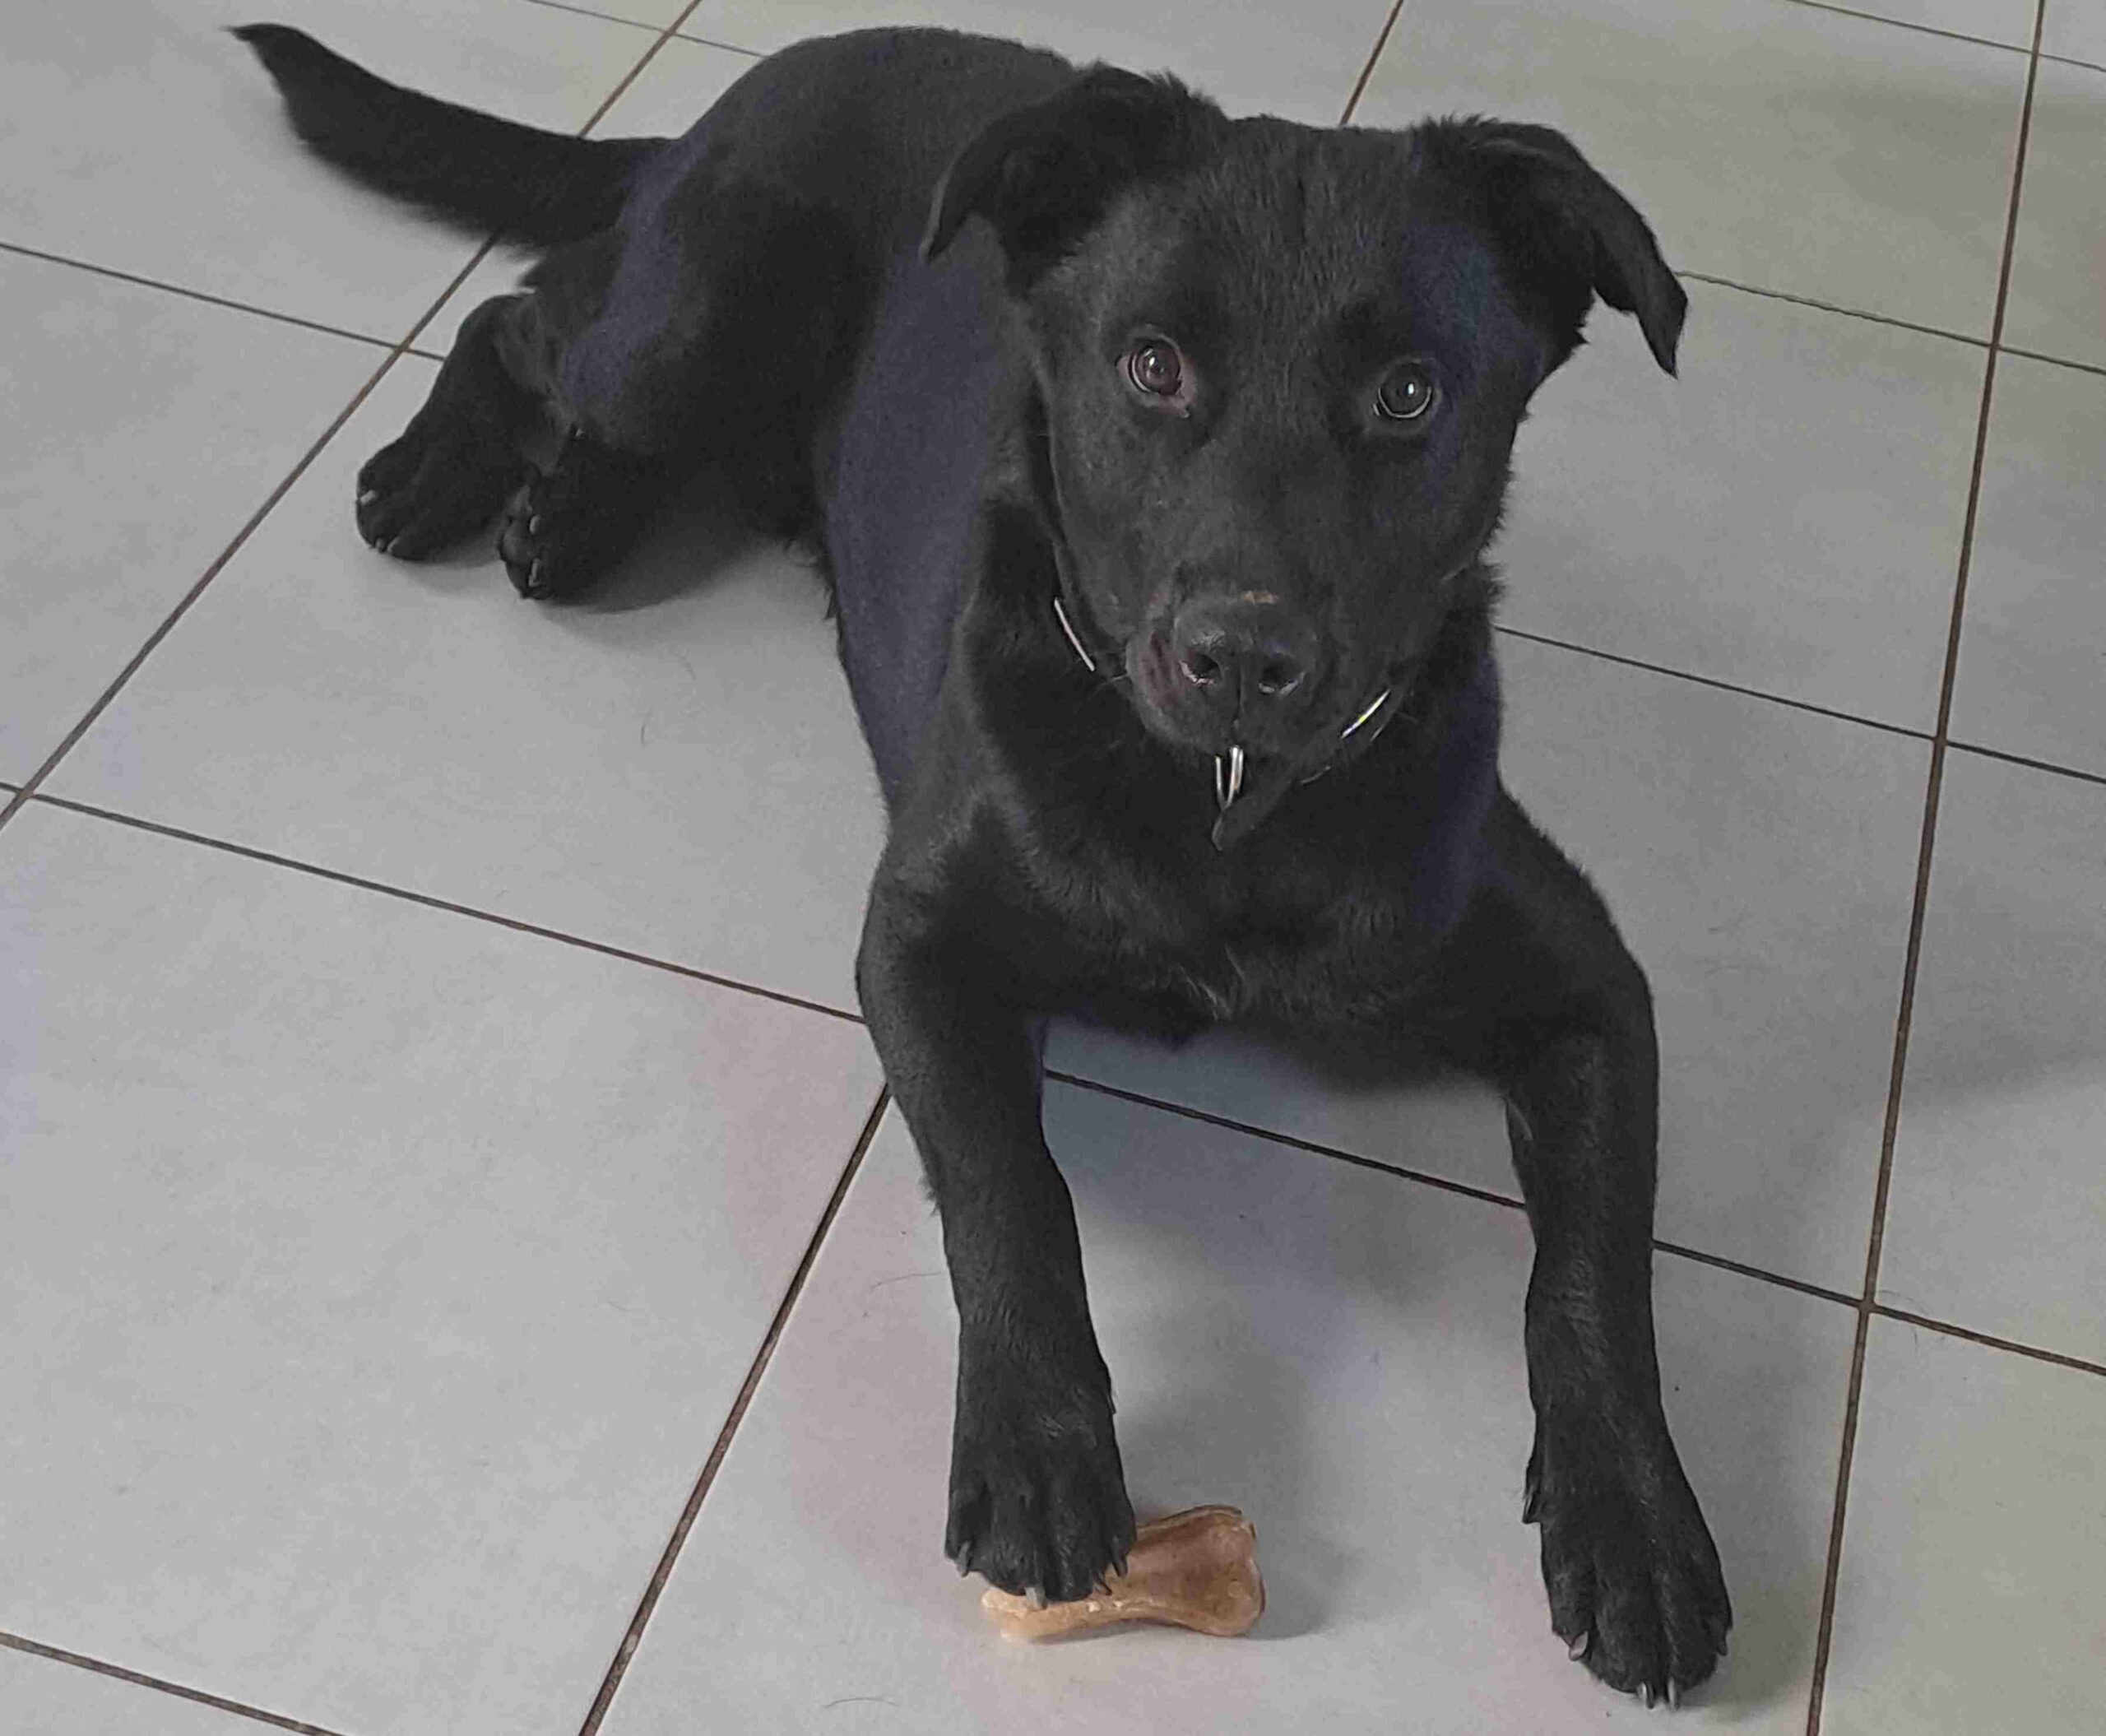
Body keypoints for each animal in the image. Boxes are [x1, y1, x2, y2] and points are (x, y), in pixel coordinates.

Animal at [238, 22, 1731, 1704]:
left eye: (1412, 394)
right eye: (1153, 366)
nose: (1242, 655)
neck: (1219, 809)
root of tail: (753, 83)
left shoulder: (1590, 985)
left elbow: (1595, 1273)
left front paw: (1636, 1518)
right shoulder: (921, 940)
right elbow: (1013, 1190)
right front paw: (1037, 1443)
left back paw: (571, 512)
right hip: (702, 308)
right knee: (518, 316)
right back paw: (440, 470)